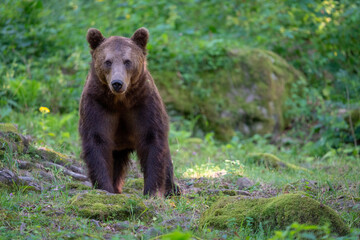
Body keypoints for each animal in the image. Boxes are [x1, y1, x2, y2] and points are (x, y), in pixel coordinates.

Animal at [79, 27, 180, 197]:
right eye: (108, 61)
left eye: (127, 61)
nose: (117, 83)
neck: (121, 101)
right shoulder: (97, 105)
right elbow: (97, 140)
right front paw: (105, 187)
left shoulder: (143, 105)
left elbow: (151, 139)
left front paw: (152, 191)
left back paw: (172, 189)